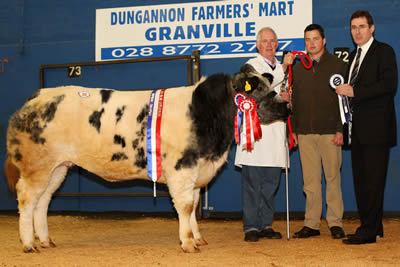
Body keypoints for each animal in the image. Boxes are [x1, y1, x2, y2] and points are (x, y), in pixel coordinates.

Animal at [4, 65, 290, 253]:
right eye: (260, 89)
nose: (286, 106)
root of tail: (38, 96)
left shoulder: (196, 172)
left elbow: (193, 206)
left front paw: (197, 238)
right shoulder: (182, 169)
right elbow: (185, 206)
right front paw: (188, 243)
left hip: (58, 167)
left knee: (43, 202)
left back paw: (44, 240)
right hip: (37, 165)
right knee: (27, 199)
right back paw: (28, 244)